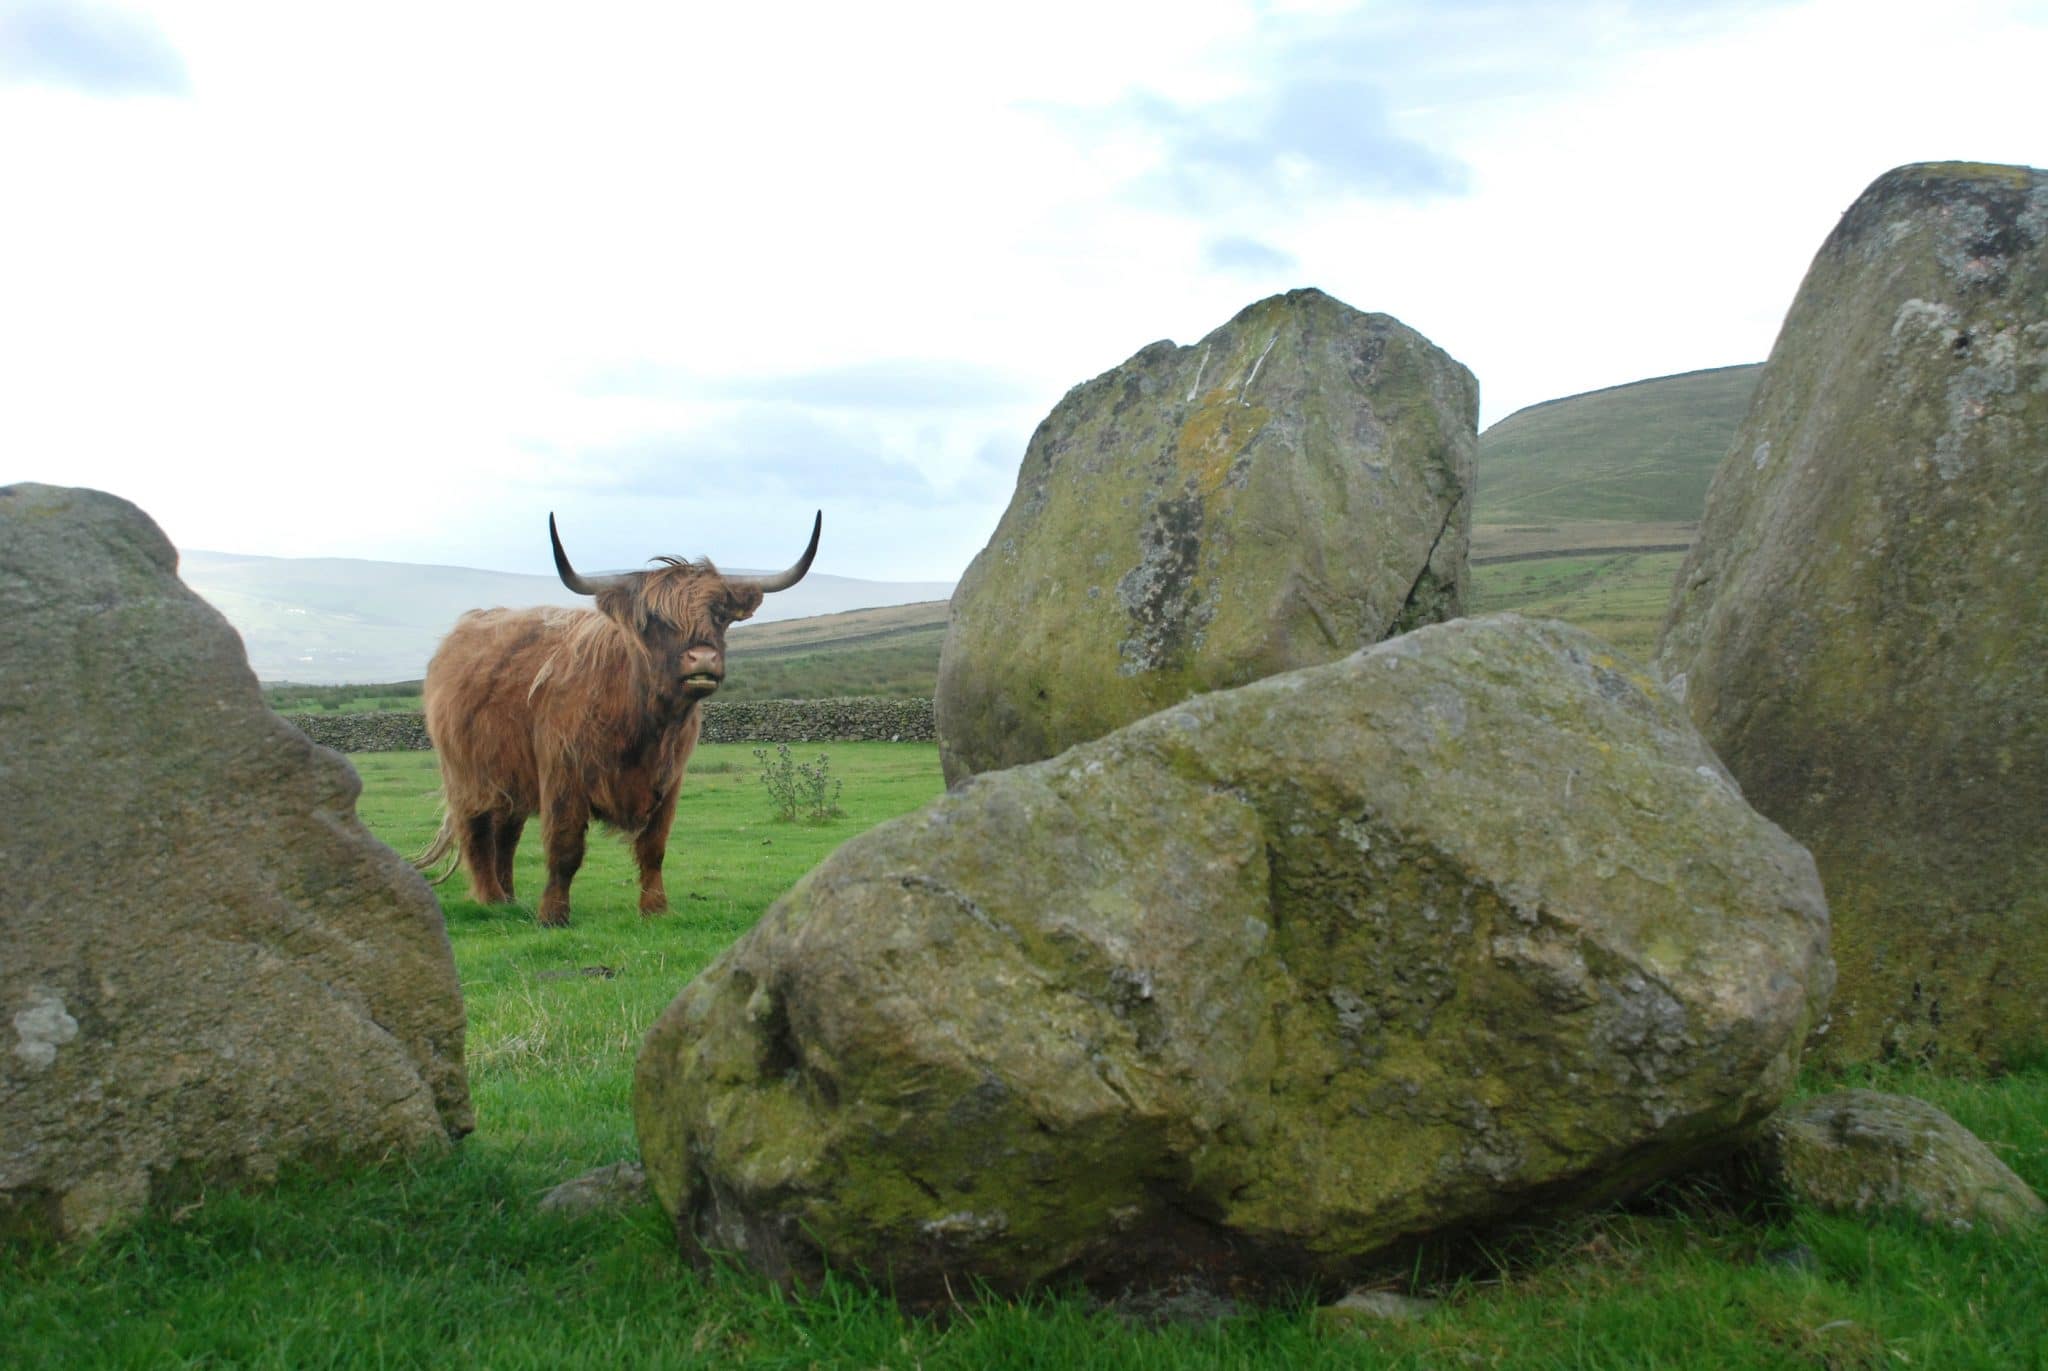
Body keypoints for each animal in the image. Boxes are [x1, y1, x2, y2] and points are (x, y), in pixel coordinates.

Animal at [413, 516, 815, 930]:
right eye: (655, 621)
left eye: (720, 614)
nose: (702, 658)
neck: (644, 725)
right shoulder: (563, 777)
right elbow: (565, 848)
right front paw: (553, 915)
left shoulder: (669, 781)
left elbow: (654, 848)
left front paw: (655, 908)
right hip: (467, 777)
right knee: (477, 833)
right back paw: (490, 899)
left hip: (512, 779)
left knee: (507, 833)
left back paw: (509, 899)